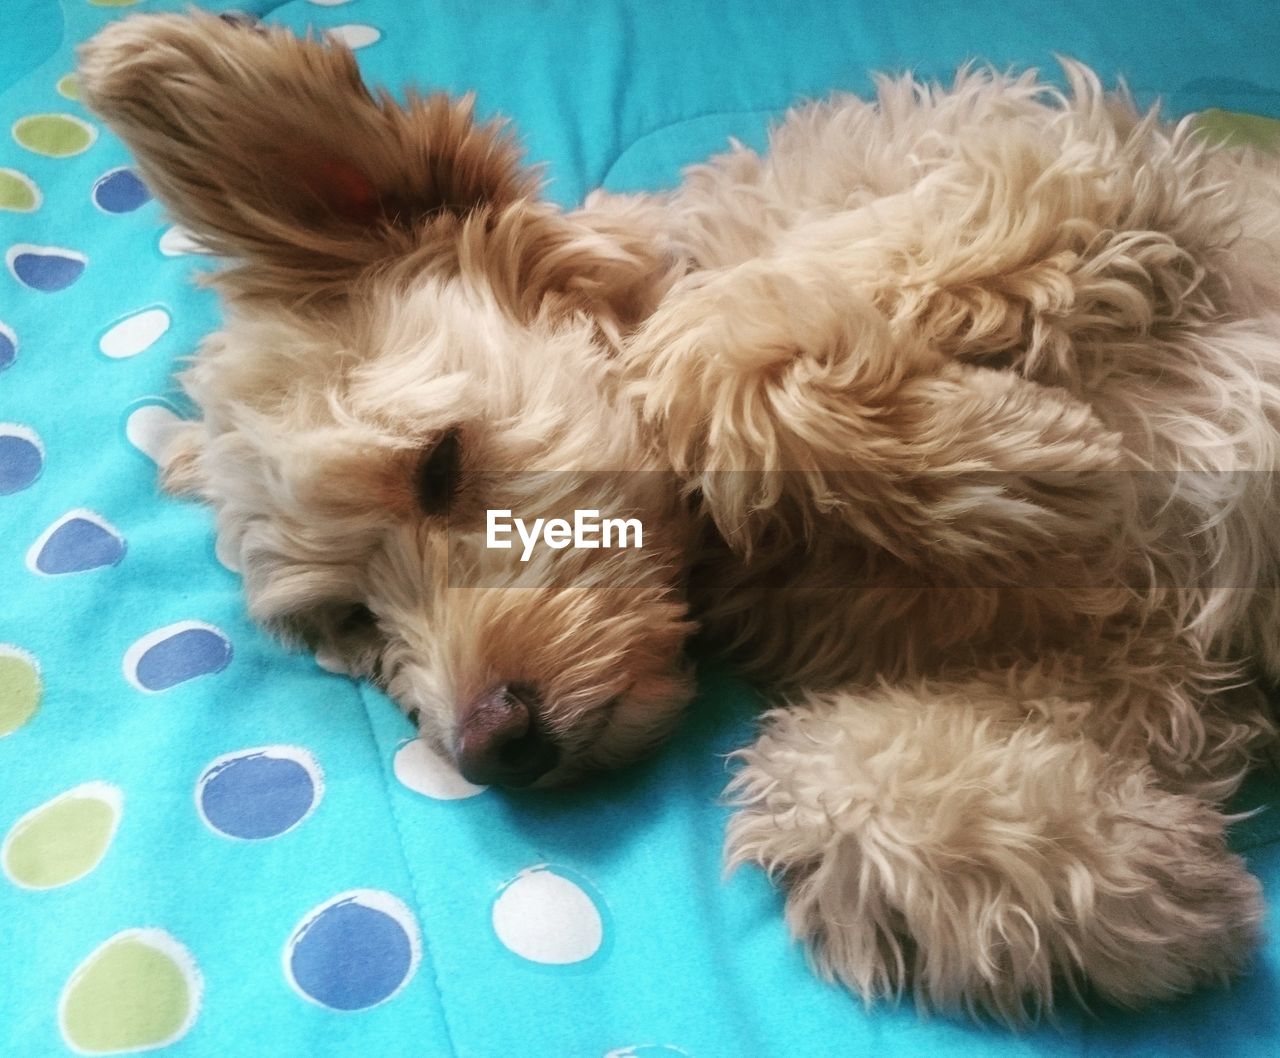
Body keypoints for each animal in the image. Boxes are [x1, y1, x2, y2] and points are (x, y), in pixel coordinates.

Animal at [77, 10, 1280, 1028]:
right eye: (350, 623)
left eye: (437, 464)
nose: (492, 749)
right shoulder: (1121, 661)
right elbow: (838, 790)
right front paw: (1150, 890)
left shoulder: (1066, 166)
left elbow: (708, 351)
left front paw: (1028, 463)